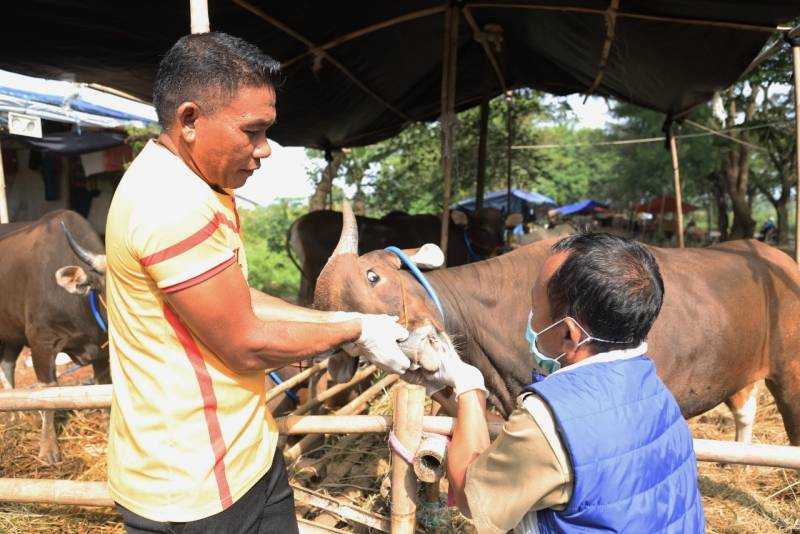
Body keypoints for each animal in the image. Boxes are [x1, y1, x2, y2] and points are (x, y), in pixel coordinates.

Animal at [0, 210, 110, 464]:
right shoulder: (41, 343)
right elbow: (48, 394)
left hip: (12, 332)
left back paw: (13, 418)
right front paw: (48, 449)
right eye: (103, 287)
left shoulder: (102, 351)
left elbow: (103, 390)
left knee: (7, 365)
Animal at [314, 203, 800, 446]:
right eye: (354, 345)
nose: (419, 349)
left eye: (373, 276)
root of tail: (775, 258)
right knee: (745, 411)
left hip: (790, 376)